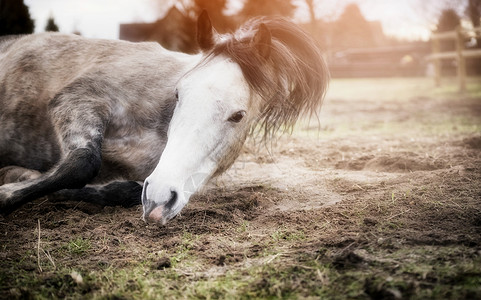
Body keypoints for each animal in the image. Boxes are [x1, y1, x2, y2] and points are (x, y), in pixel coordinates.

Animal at [0, 12, 328, 225]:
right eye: (179, 93)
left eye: (238, 115)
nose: (158, 198)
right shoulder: (77, 99)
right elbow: (83, 163)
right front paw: (7, 192)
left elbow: (127, 189)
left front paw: (16, 178)